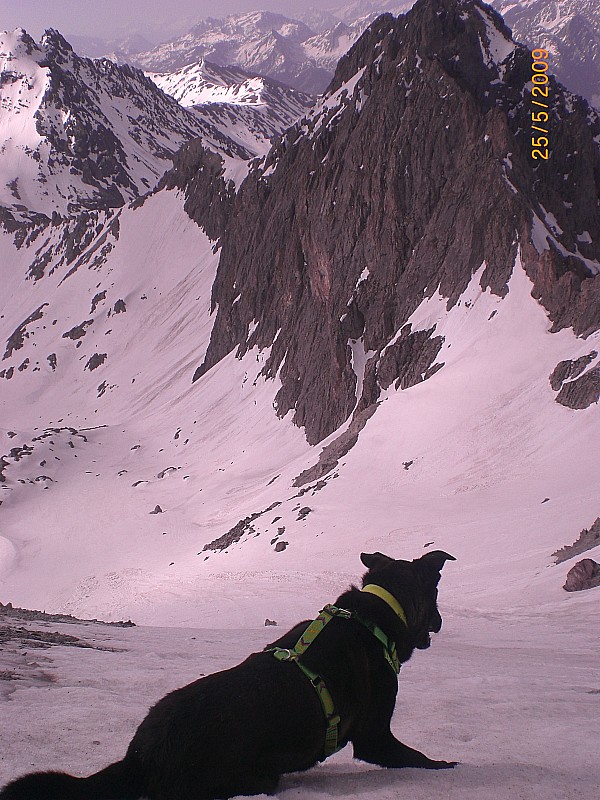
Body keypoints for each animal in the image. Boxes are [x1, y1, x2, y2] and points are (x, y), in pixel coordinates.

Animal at [1, 552, 454, 800]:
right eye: (435, 593)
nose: (440, 622)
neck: (377, 613)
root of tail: (139, 755)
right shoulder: (376, 736)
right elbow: (417, 758)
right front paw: (447, 765)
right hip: (255, 775)